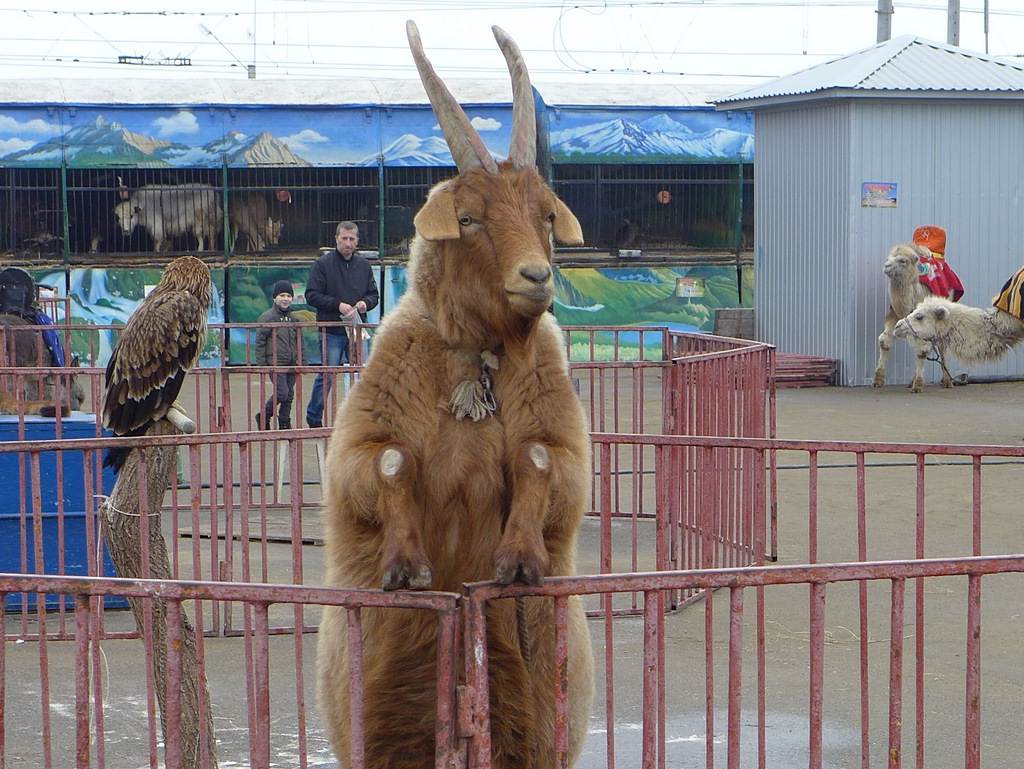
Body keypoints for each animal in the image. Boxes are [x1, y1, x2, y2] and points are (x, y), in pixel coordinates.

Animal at [315, 19, 598, 769]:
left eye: (546, 215)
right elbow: (388, 463)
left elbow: (539, 460)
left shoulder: (564, 440)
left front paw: (518, 560)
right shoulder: (358, 440)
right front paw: (407, 565)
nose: (535, 278)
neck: (479, 356)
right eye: (468, 219)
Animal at [876, 243, 954, 393]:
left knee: (942, 346)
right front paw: (878, 380)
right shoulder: (895, 314)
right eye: (888, 258)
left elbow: (923, 349)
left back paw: (947, 381)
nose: (886, 266)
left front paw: (917, 385)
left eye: (903, 261)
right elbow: (884, 340)